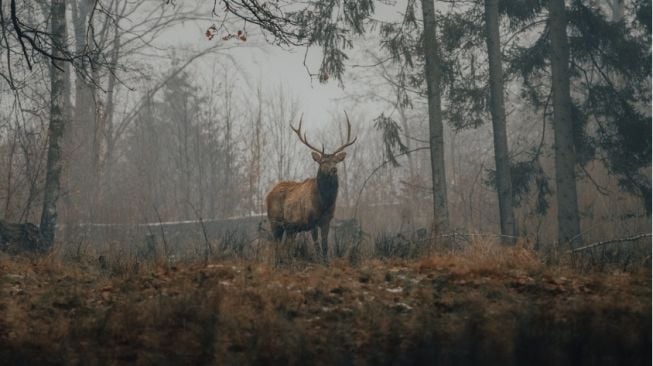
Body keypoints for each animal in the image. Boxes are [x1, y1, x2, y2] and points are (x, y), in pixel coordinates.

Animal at [264, 113, 356, 262]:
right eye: (323, 162)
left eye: (335, 161)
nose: (334, 169)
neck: (324, 203)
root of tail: (268, 194)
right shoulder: (312, 220)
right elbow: (316, 244)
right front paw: (319, 262)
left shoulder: (326, 220)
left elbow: (325, 245)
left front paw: (326, 262)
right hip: (274, 221)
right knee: (276, 245)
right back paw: (277, 263)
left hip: (291, 228)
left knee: (286, 246)